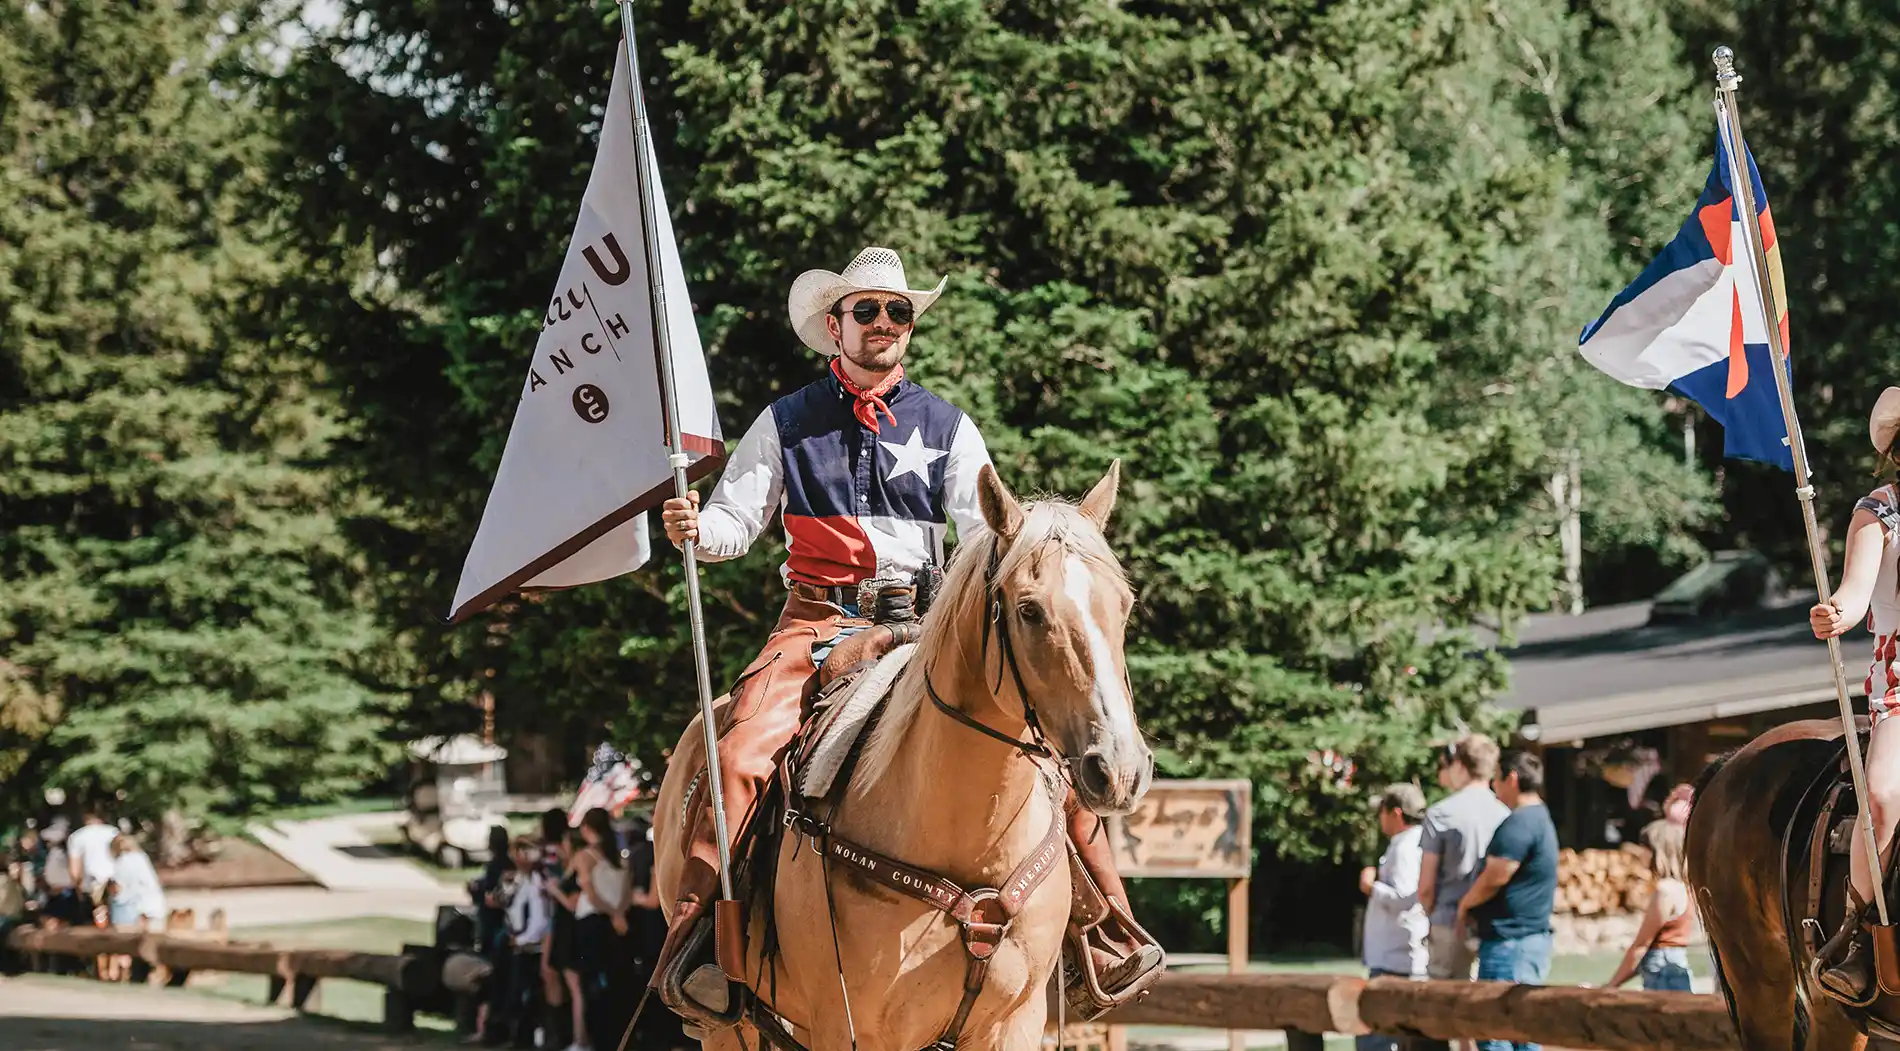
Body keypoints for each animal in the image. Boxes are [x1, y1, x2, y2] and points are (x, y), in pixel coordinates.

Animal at [653, 463, 1155, 1049]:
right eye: (1029, 610)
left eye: (1122, 604)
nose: (1120, 769)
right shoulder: (849, 1029)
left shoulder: (1015, 1022)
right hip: (729, 1030)